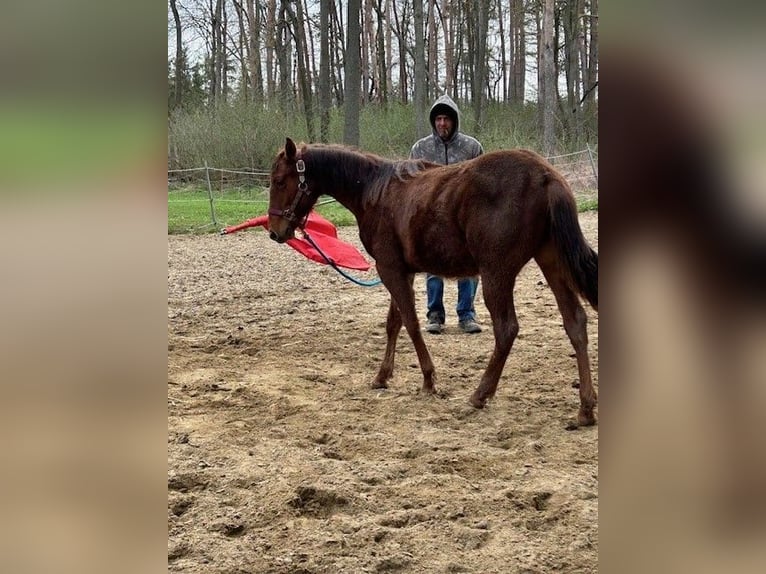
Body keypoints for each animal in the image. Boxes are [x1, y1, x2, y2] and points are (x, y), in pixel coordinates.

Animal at [267, 137, 598, 426]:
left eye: (280, 181)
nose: (274, 231)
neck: (377, 192)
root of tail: (545, 174)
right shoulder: (402, 270)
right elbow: (394, 323)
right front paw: (382, 376)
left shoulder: (389, 269)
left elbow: (411, 323)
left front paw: (428, 379)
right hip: (551, 263)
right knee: (575, 322)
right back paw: (585, 408)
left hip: (496, 274)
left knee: (507, 329)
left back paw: (480, 394)